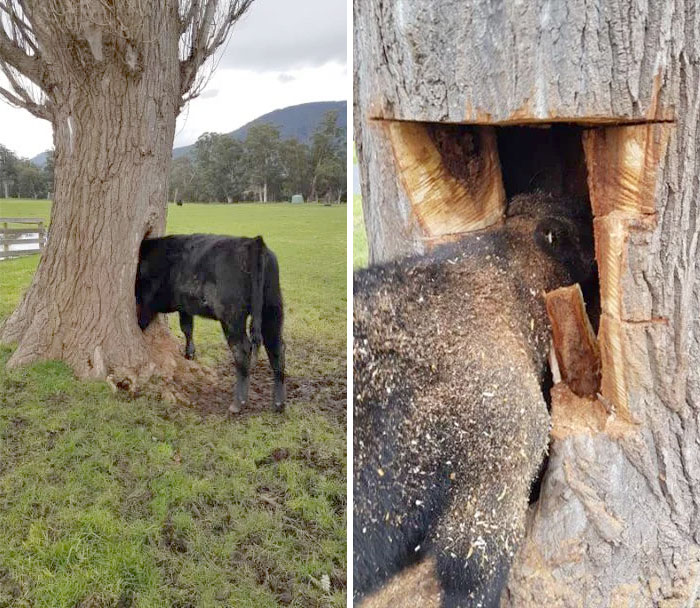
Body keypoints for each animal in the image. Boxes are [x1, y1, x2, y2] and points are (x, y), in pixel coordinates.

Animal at [135, 234, 285, 413]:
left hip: (232, 316)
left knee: (242, 350)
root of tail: (252, 242)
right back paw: (278, 404)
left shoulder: (147, 303)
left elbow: (141, 322)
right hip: (272, 309)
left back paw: (238, 403)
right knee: (276, 348)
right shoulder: (184, 306)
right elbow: (187, 328)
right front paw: (190, 354)